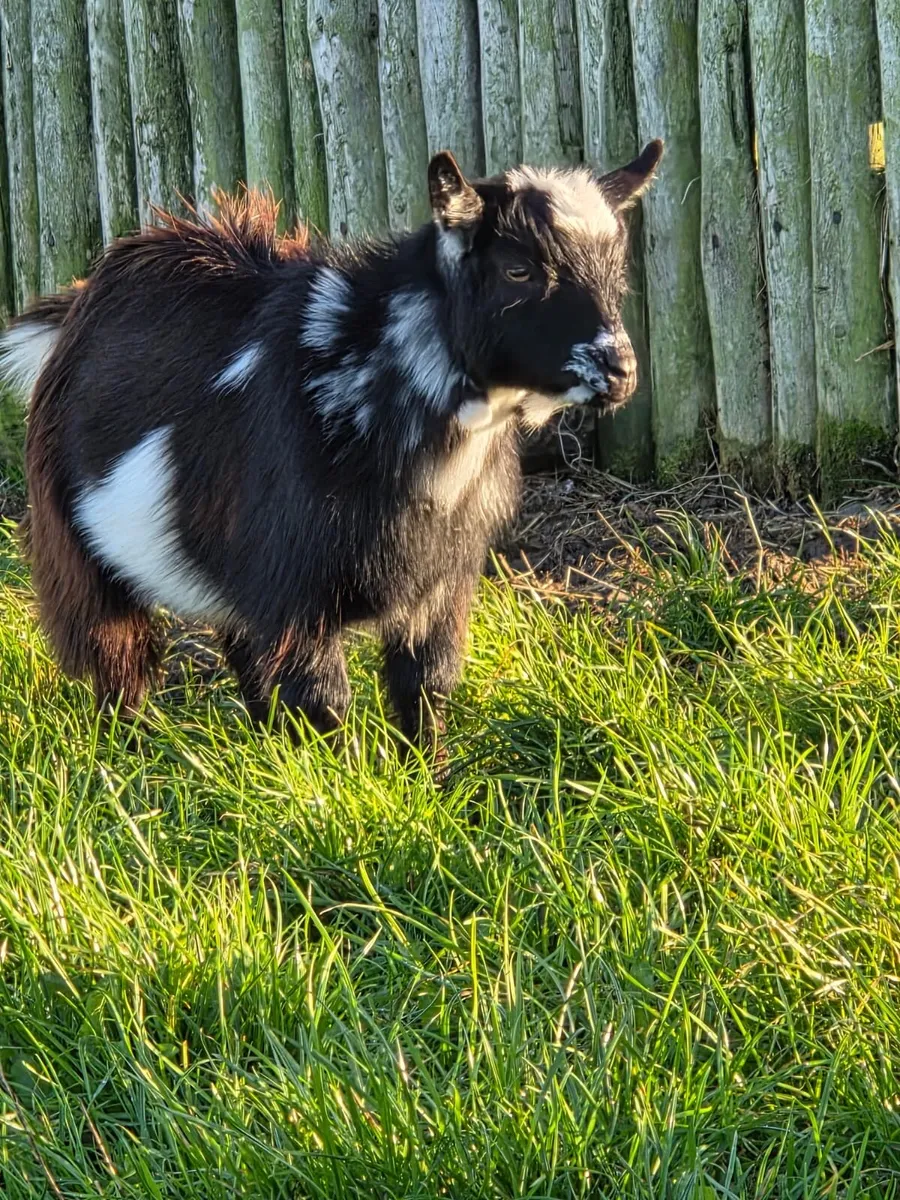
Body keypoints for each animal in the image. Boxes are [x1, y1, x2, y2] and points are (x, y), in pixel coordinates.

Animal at [1, 145, 662, 761]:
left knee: (238, 651)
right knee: (118, 657)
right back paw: (127, 758)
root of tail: (80, 301)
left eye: (615, 270)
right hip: (75, 548)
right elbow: (323, 702)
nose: (621, 372)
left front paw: (429, 780)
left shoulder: (439, 584)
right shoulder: (295, 588)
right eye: (519, 269)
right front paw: (339, 786)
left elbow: (426, 688)